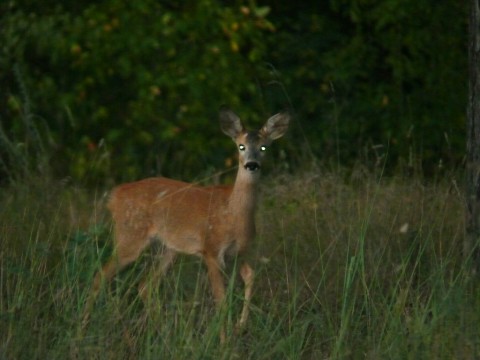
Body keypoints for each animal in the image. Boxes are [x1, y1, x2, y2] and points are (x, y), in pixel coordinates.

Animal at [86, 107, 288, 340]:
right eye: (241, 146)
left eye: (264, 147)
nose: (252, 165)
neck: (234, 215)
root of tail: (114, 197)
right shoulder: (211, 250)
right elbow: (221, 300)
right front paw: (224, 341)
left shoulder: (242, 251)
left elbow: (250, 277)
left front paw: (239, 327)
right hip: (129, 238)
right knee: (100, 276)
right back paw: (83, 327)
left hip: (169, 249)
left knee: (146, 284)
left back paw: (161, 332)